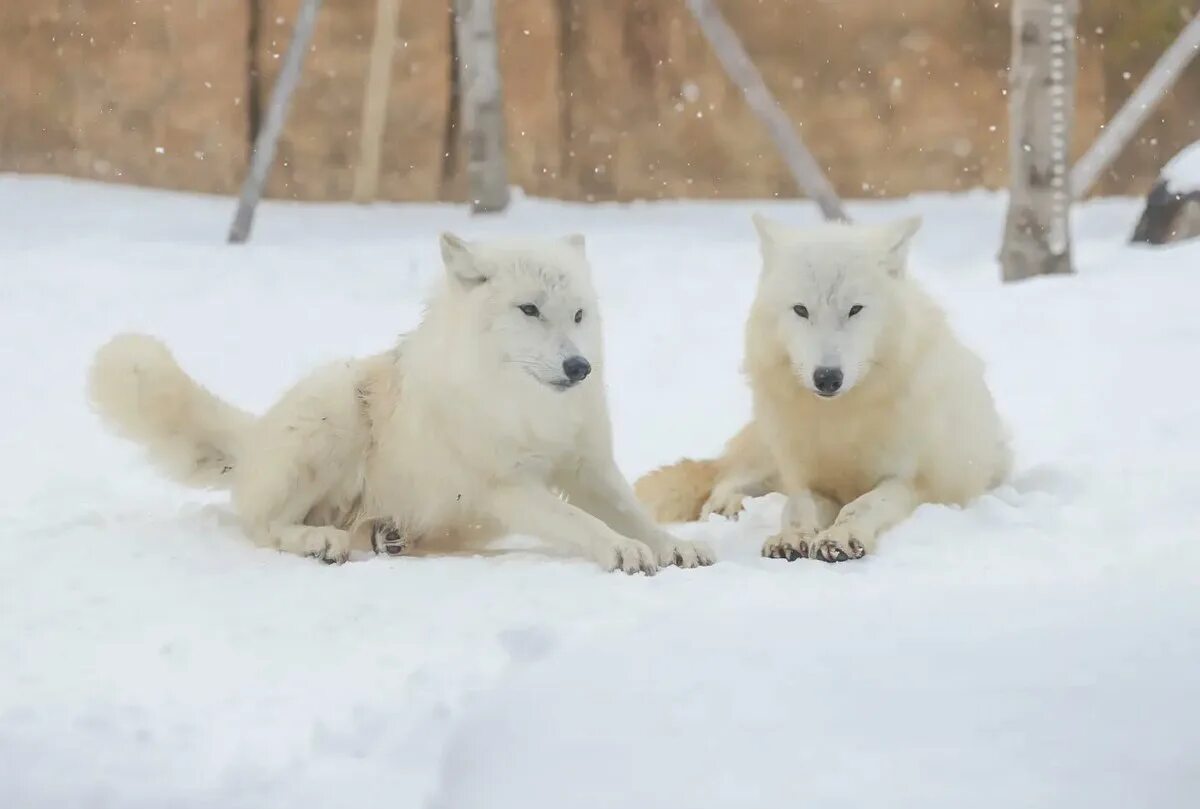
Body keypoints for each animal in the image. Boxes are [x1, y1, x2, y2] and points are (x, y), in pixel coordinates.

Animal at [93, 232, 715, 573]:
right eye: (530, 310)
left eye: (580, 315)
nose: (579, 368)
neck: (522, 406)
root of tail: (256, 438)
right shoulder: (508, 486)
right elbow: (582, 522)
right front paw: (624, 552)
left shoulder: (589, 467)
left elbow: (633, 511)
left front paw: (675, 546)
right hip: (334, 410)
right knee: (263, 525)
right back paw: (321, 540)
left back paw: (382, 535)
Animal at [638, 213, 1012, 561]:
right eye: (801, 310)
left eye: (855, 309)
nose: (827, 377)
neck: (841, 422)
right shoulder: (809, 481)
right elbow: (796, 508)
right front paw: (791, 537)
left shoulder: (908, 481)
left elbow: (863, 505)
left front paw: (841, 537)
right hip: (770, 454)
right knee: (726, 480)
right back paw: (727, 505)